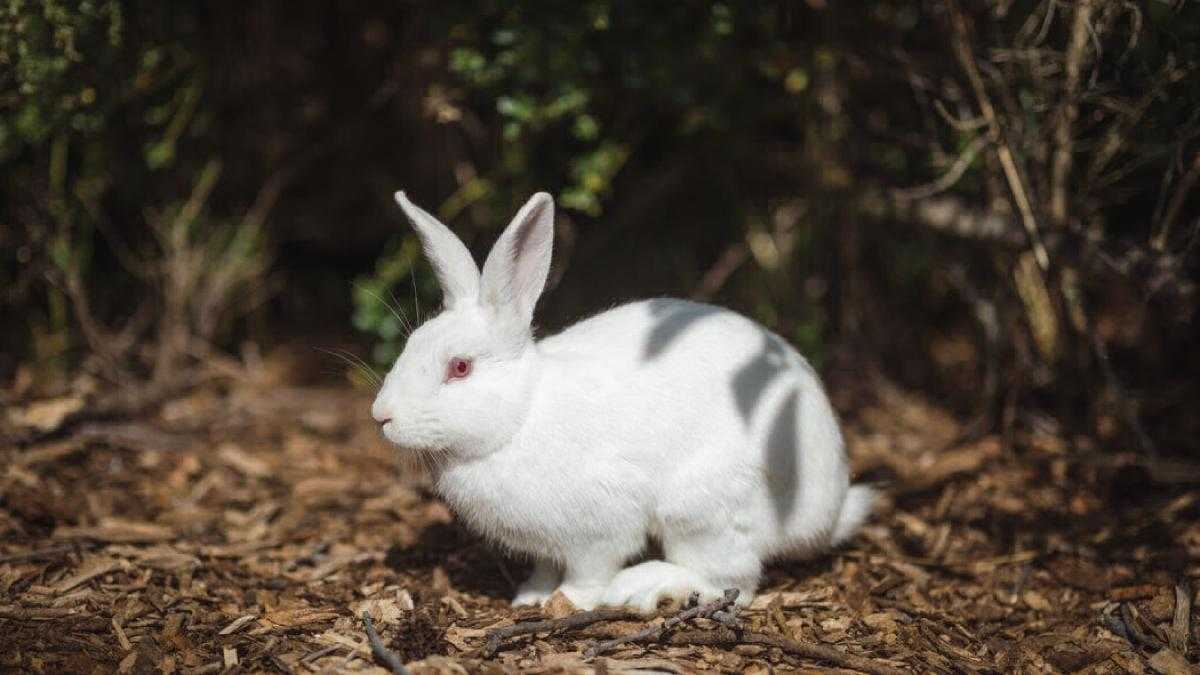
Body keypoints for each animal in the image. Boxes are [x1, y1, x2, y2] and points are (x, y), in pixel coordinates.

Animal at [369, 189, 878, 610]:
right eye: (411, 343)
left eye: (459, 368)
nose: (381, 417)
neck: (521, 417)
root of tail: (828, 511)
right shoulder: (546, 546)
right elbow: (545, 567)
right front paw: (529, 597)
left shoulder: (599, 530)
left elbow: (588, 572)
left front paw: (568, 602)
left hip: (703, 510)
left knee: (732, 583)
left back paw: (643, 588)